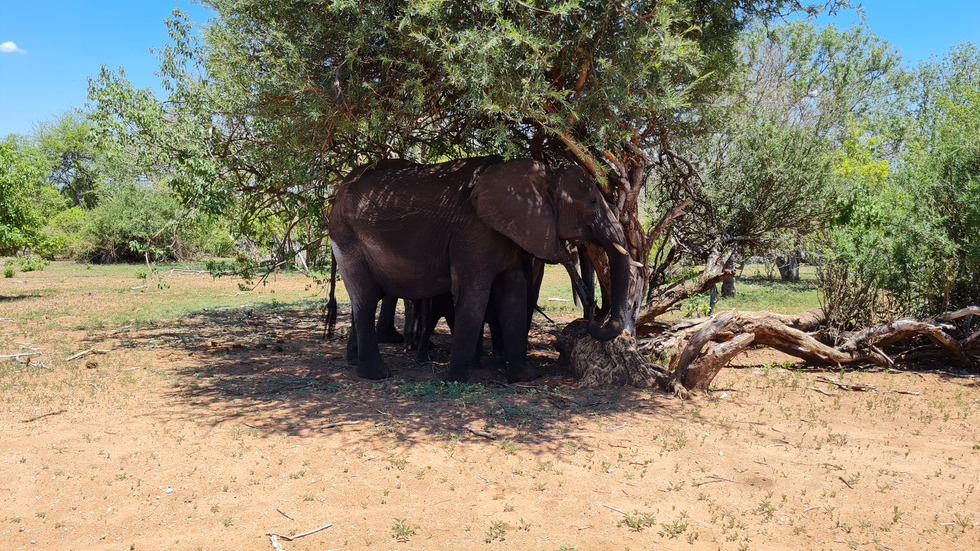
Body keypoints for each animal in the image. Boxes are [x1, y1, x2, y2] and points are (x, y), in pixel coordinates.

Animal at [330, 155, 636, 384]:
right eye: (592, 203)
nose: (594, 317)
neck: (543, 174)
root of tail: (336, 195)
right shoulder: (473, 231)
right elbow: (474, 296)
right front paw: (457, 380)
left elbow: (513, 295)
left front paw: (525, 377)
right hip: (348, 240)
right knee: (366, 298)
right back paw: (376, 374)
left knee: (367, 298)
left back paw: (359, 364)